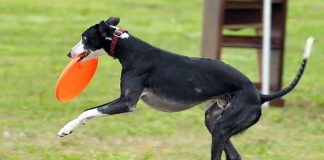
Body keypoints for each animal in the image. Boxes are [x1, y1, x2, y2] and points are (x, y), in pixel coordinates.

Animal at [58, 16, 314, 159]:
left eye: (84, 37)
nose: (69, 53)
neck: (127, 47)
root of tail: (259, 95)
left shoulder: (126, 102)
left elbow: (88, 111)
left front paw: (66, 128)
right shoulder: (124, 100)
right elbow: (89, 110)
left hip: (222, 128)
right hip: (214, 120)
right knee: (234, 155)